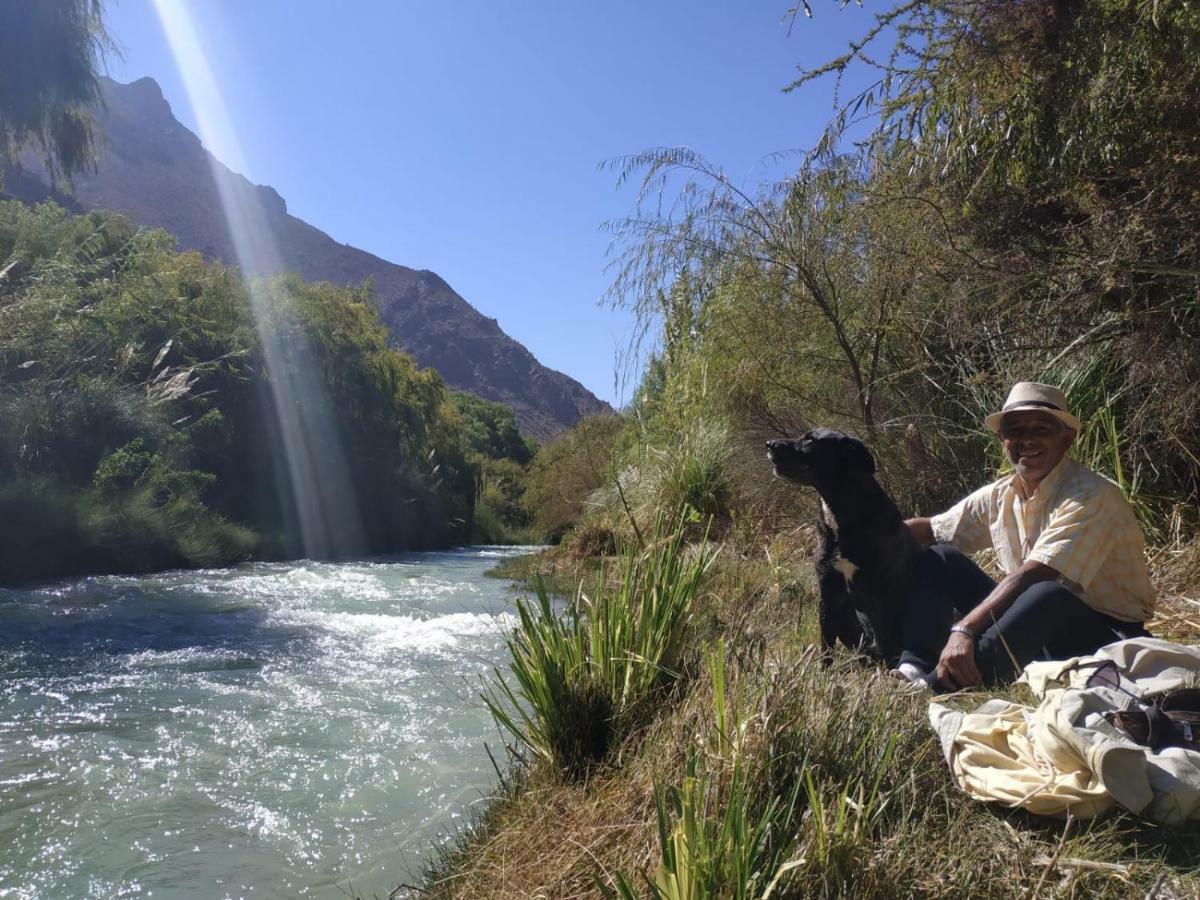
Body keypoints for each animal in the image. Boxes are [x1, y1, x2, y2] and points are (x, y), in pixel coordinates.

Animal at [768, 429, 916, 672]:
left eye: (810, 440)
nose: (769, 444)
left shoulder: (882, 590)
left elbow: (885, 636)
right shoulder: (828, 589)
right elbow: (826, 644)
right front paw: (824, 675)